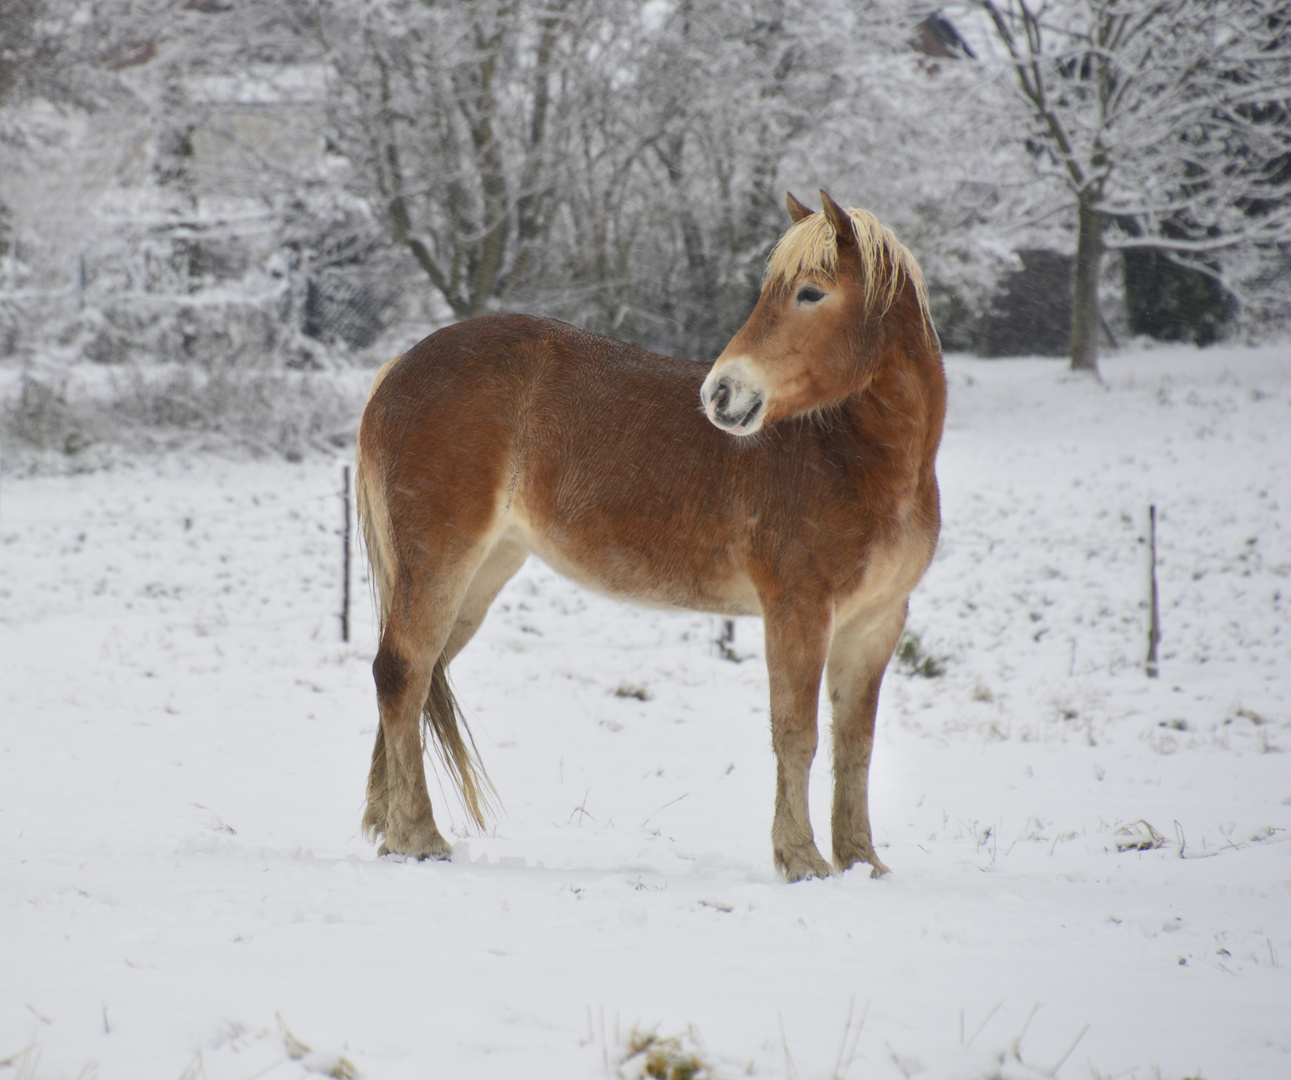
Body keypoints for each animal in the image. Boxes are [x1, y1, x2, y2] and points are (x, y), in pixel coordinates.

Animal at [358, 189, 945, 882]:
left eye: (810, 293)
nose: (721, 393)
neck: (853, 455)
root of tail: (400, 367)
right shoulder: (799, 610)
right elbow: (797, 734)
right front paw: (802, 860)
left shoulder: (875, 623)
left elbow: (856, 744)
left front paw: (861, 862)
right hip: (439, 563)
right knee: (401, 671)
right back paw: (419, 838)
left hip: (480, 573)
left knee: (420, 676)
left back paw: (389, 829)